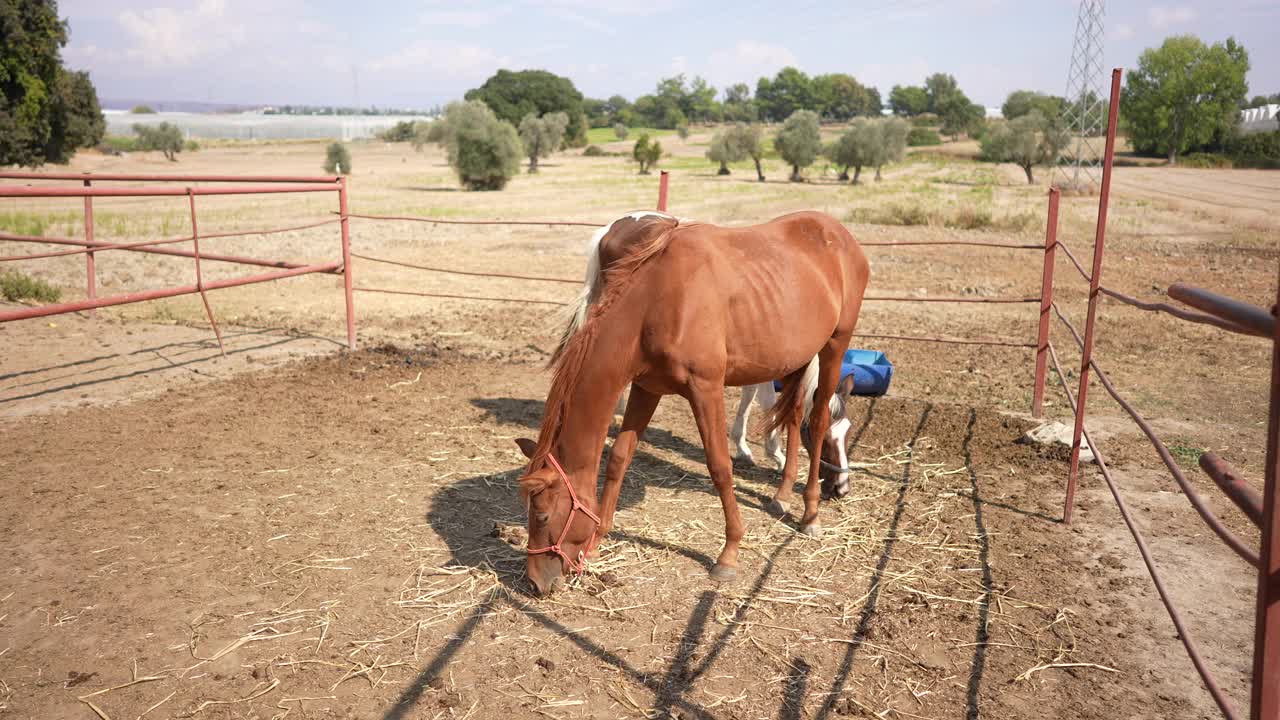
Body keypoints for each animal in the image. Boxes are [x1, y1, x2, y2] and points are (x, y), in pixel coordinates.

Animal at [509, 208, 870, 594]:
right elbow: (619, 457)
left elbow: (719, 466)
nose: (535, 583)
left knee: (815, 422)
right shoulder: (646, 387)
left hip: (834, 346)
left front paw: (729, 553)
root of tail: (838, 233)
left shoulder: (706, 388)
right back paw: (783, 493)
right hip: (794, 356)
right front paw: (597, 542)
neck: (659, 300)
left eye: (542, 514)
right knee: (794, 414)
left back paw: (810, 514)